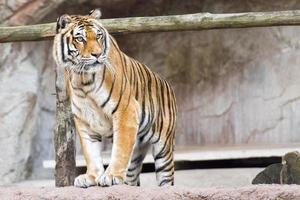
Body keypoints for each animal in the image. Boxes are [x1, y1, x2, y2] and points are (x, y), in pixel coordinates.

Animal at [52, 9, 177, 188]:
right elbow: (90, 151)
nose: (97, 54)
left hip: (163, 147)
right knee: (132, 176)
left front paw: (111, 176)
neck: (82, 79)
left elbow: (120, 150)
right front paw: (91, 176)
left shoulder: (126, 110)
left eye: (98, 36)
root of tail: (167, 84)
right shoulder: (83, 119)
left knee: (166, 178)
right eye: (80, 38)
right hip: (137, 149)